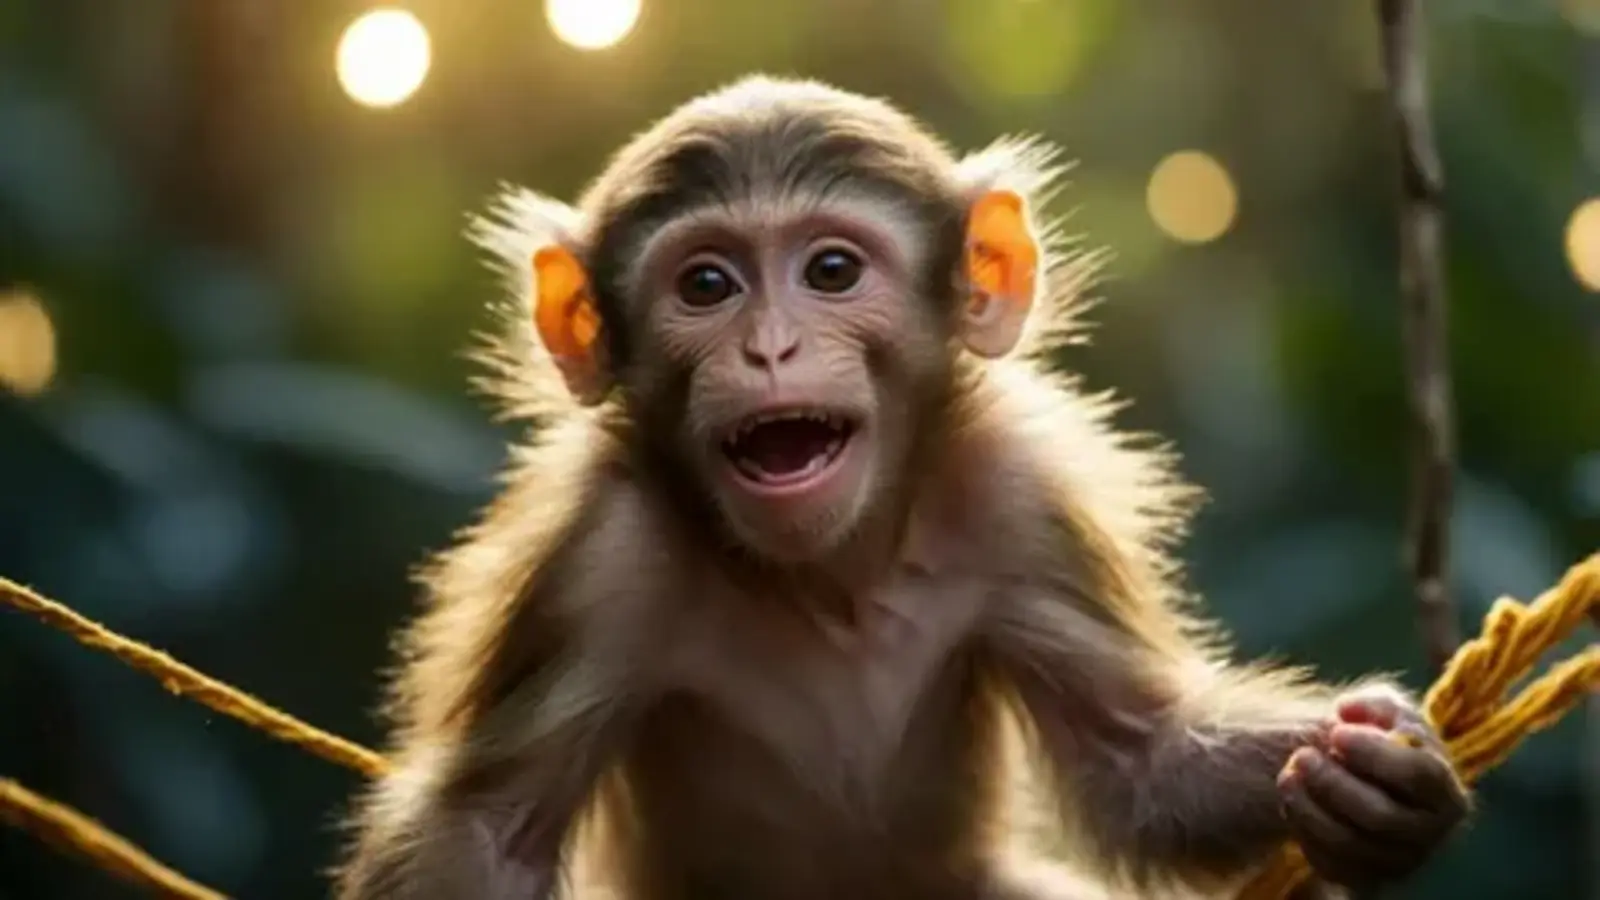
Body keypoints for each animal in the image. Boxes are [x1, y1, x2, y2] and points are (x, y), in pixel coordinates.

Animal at [333, 75, 1470, 900]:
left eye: (832, 271)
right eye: (707, 285)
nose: (771, 348)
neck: (827, 571)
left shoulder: (1019, 497)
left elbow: (1140, 761)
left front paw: (1374, 787)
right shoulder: (598, 557)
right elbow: (484, 833)